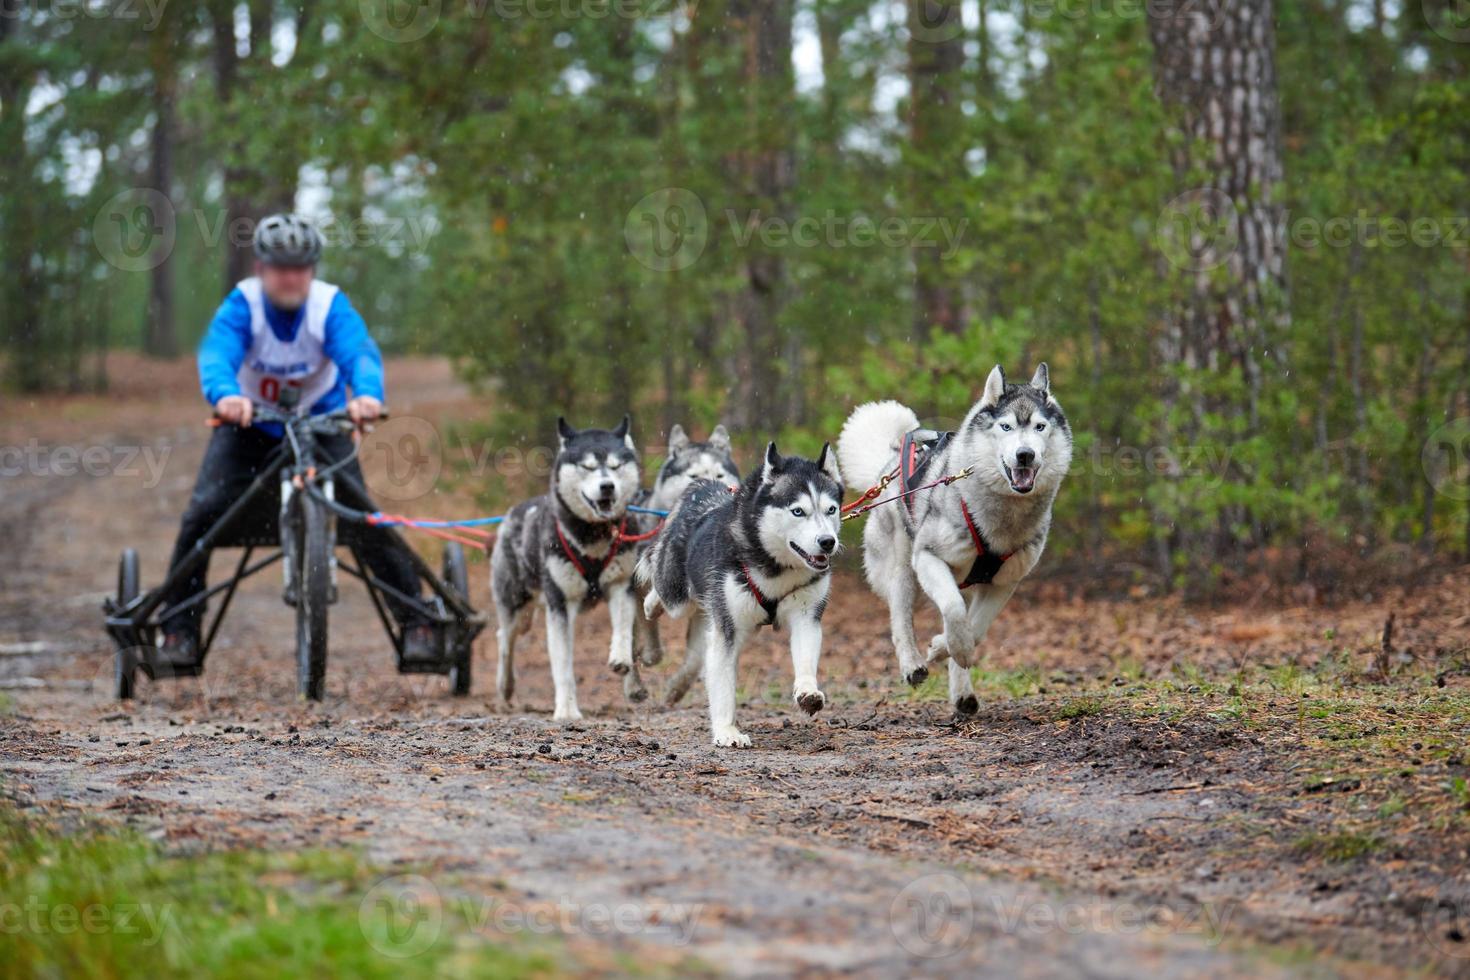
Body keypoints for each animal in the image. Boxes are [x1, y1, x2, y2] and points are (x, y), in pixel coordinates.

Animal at [640, 443, 846, 752]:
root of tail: (702, 485)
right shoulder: (726, 628)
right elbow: (724, 687)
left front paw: (808, 691)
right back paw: (651, 605)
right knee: (664, 590)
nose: (827, 542)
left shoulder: (806, 616)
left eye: (831, 509)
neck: (775, 567)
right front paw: (726, 730)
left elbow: (806, 659)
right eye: (798, 511)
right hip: (677, 596)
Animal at [840, 364, 1070, 717]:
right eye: (1006, 426)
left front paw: (942, 648)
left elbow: (975, 630)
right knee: (900, 617)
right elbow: (953, 610)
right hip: (903, 568)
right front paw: (952, 648)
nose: (1025, 455)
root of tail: (889, 467)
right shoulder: (929, 557)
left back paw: (962, 694)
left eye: (1040, 427)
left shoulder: (1003, 582)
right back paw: (913, 664)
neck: (1003, 516)